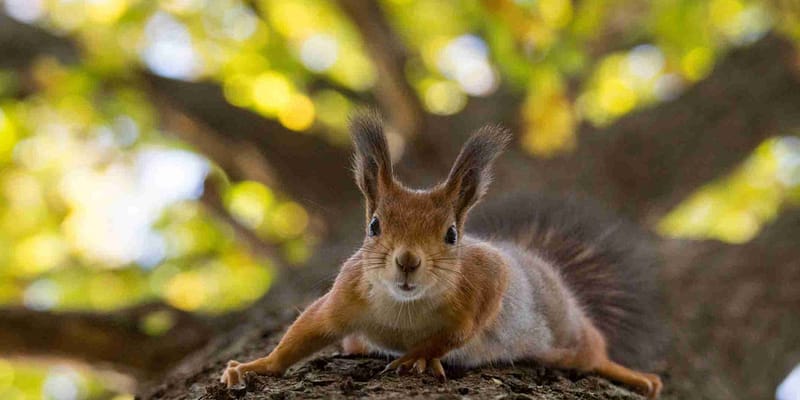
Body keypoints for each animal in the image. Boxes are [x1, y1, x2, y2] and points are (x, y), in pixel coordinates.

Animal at [222, 111, 664, 396]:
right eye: (374, 226)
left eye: (451, 234)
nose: (408, 261)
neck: (403, 309)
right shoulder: (345, 295)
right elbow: (304, 332)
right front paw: (253, 366)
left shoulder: (487, 276)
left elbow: (459, 331)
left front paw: (418, 355)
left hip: (568, 331)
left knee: (596, 351)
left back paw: (636, 376)